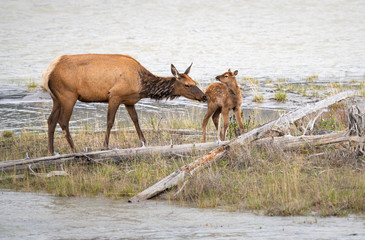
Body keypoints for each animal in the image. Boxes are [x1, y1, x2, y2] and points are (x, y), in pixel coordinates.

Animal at [42, 53, 208, 155]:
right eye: (187, 85)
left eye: (194, 82)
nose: (204, 96)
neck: (142, 85)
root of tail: (47, 72)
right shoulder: (115, 95)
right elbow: (110, 122)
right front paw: (105, 146)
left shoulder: (129, 101)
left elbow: (136, 120)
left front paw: (144, 143)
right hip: (68, 95)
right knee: (63, 121)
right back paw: (74, 149)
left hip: (56, 98)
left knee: (51, 120)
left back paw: (51, 151)